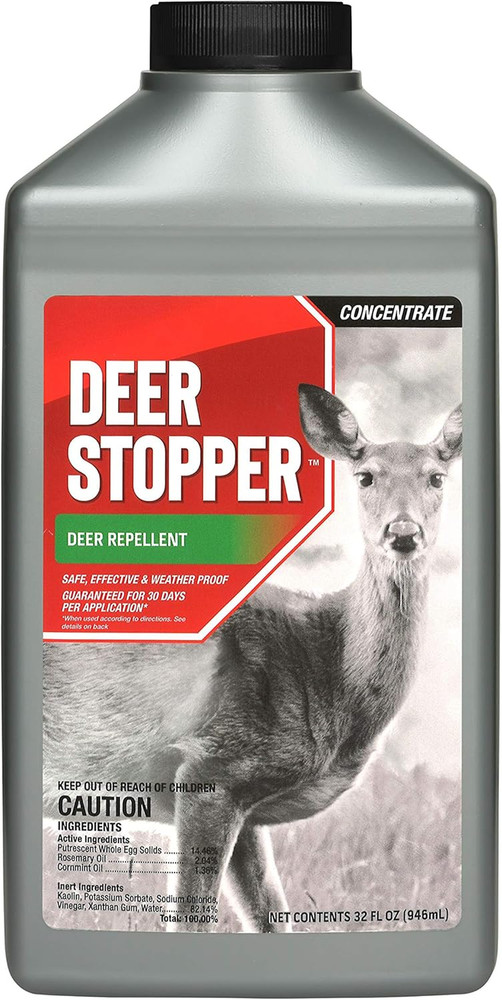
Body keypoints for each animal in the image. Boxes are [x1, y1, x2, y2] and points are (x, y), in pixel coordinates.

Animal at [43, 384, 462, 933]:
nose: (404, 532)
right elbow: (192, 920)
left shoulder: (247, 803)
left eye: (436, 477)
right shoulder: (213, 765)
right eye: (365, 475)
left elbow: (272, 916)